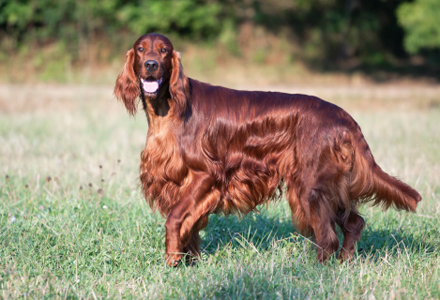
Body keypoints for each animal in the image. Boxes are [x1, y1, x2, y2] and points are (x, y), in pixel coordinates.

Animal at [112, 34, 420, 266]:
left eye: (164, 50)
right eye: (141, 49)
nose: (151, 64)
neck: (168, 109)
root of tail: (345, 118)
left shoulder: (205, 174)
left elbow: (175, 218)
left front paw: (172, 261)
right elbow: (191, 228)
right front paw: (190, 262)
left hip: (310, 187)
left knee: (328, 238)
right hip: (330, 185)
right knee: (354, 223)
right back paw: (345, 263)